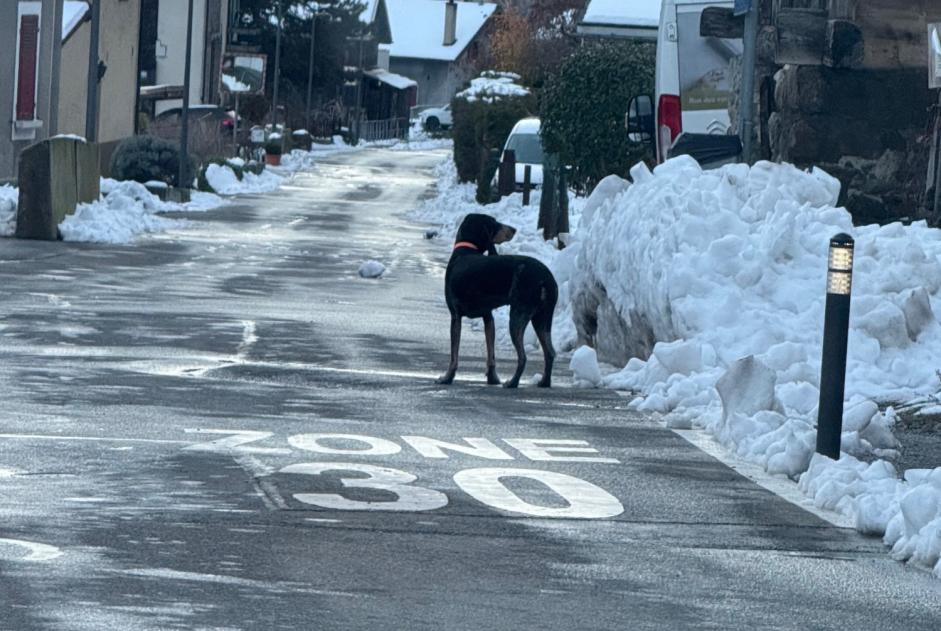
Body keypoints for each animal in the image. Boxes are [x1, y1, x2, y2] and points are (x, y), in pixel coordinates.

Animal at [436, 215, 560, 388]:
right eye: (494, 222)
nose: (514, 229)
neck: (466, 248)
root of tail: (545, 278)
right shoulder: (488, 317)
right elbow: (491, 354)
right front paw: (492, 379)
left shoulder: (455, 317)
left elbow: (454, 355)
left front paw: (447, 378)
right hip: (543, 318)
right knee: (550, 352)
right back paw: (544, 382)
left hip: (518, 316)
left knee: (523, 356)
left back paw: (512, 383)